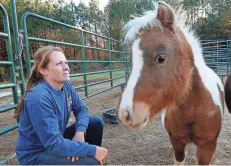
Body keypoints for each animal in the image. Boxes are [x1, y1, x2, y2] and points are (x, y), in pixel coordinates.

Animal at [116, 0, 231, 165]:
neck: (192, 110)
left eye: (161, 58)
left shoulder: (207, 147)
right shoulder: (177, 142)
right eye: (131, 60)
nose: (125, 115)